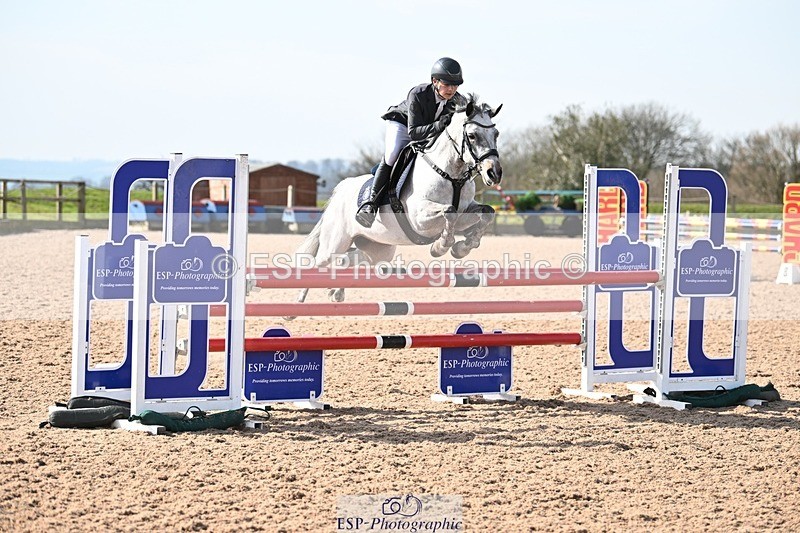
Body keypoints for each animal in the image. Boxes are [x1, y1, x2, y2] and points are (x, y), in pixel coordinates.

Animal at [295, 95, 503, 303]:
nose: (494, 173)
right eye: (473, 135)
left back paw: (336, 291)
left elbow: (487, 213)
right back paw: (299, 300)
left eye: (496, 134)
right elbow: (449, 212)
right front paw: (441, 246)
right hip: (336, 242)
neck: (451, 175)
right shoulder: (419, 218)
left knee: (353, 258)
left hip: (378, 247)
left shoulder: (466, 211)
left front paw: (463, 247)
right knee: (319, 262)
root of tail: (342, 190)